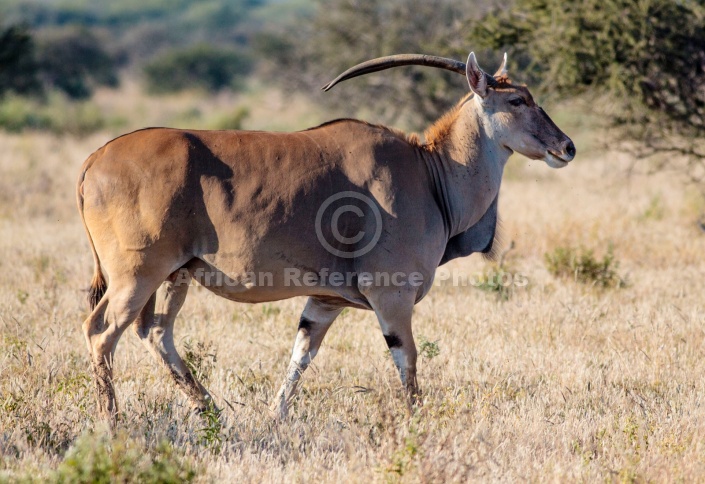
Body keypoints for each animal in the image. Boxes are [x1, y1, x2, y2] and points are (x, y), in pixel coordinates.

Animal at [77, 51, 576, 426]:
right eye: (517, 100)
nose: (567, 147)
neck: (430, 171)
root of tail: (95, 159)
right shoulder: (392, 297)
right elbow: (408, 362)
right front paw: (418, 423)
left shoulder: (324, 301)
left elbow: (300, 357)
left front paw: (274, 419)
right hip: (138, 276)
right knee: (102, 333)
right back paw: (112, 422)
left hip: (176, 276)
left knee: (157, 332)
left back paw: (210, 410)